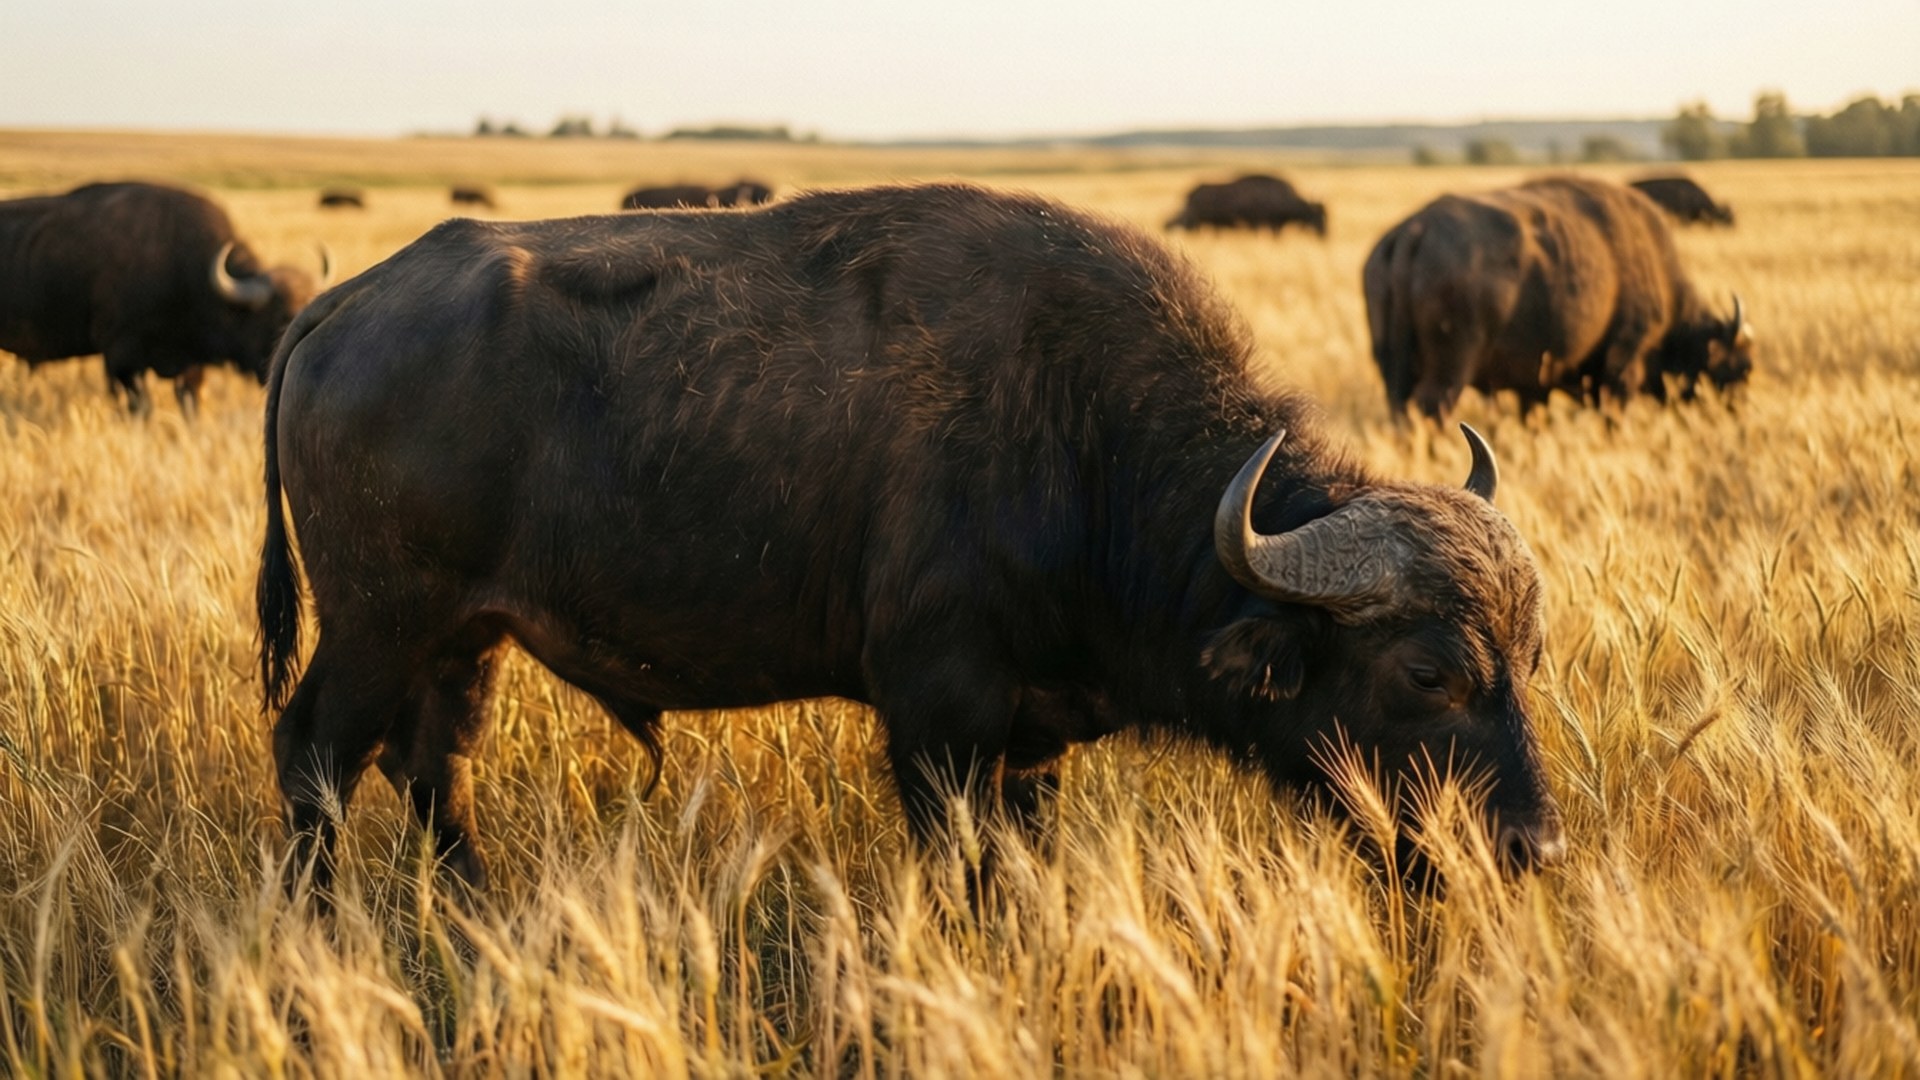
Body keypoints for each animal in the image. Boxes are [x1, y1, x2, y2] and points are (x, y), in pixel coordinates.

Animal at [259, 184, 1566, 895]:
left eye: (1531, 659)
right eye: (1427, 672)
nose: (1534, 848)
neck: (1084, 437)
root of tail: (342, 309)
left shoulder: (1030, 745)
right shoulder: (937, 719)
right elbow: (962, 873)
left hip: (464, 637)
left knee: (432, 766)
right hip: (376, 624)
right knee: (316, 756)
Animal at [1364, 176, 1753, 420]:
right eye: (1740, 365)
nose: (1738, 408)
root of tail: (1413, 232)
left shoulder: (1535, 386)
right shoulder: (1623, 364)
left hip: (1394, 371)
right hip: (1449, 372)